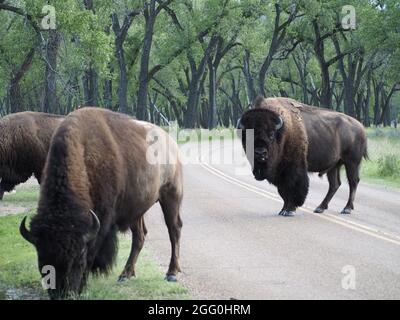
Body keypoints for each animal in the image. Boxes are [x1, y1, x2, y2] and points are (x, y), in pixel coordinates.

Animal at [19, 108, 183, 300]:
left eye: (78, 259)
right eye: (42, 261)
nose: (63, 293)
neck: (83, 154)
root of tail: (170, 141)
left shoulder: (102, 220)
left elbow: (94, 250)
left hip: (171, 196)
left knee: (174, 229)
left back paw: (171, 273)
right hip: (137, 208)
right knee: (140, 236)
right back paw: (125, 274)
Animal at [238, 96, 368, 216]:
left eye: (271, 134)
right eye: (247, 136)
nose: (260, 153)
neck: (284, 132)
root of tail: (360, 127)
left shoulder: (294, 168)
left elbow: (293, 187)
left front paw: (290, 210)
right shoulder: (280, 174)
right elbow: (283, 191)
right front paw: (283, 210)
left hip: (352, 163)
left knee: (353, 182)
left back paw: (347, 209)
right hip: (334, 165)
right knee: (335, 184)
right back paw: (320, 208)